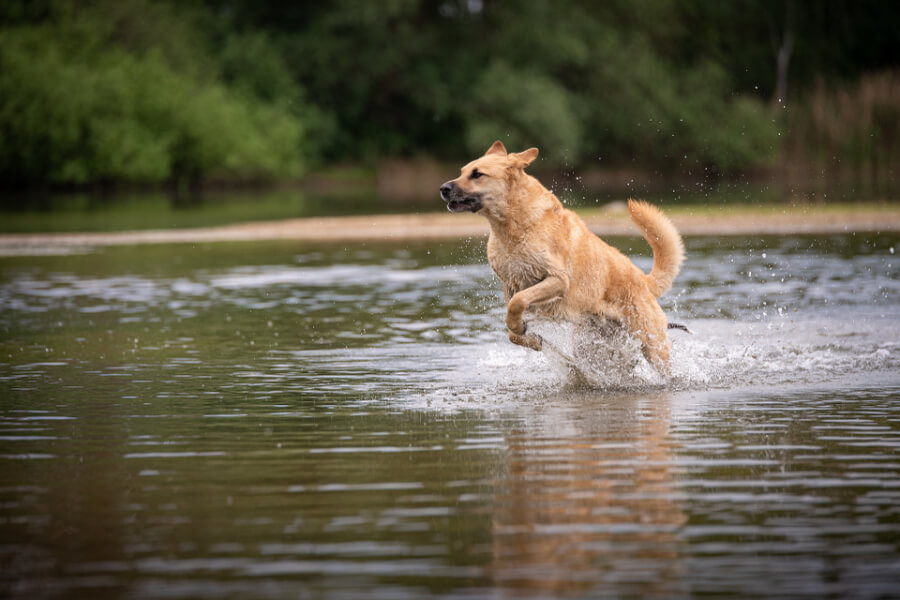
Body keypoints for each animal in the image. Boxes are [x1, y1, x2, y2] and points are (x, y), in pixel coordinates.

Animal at [440, 142, 684, 376]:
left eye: (477, 174)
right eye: (462, 172)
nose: (443, 188)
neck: (512, 227)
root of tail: (644, 280)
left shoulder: (557, 280)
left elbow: (518, 303)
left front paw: (521, 328)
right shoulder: (509, 284)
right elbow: (512, 325)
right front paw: (531, 338)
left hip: (653, 347)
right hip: (593, 342)